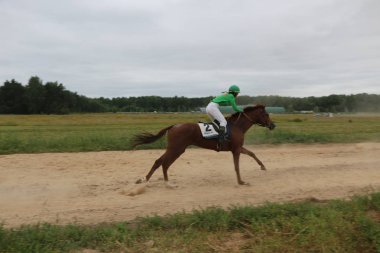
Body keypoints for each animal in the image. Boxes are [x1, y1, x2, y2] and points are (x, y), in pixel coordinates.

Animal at [132, 104, 274, 185]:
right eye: (266, 114)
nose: (273, 125)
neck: (237, 126)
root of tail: (173, 126)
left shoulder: (237, 147)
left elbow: (252, 153)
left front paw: (263, 166)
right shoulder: (236, 149)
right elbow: (237, 166)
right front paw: (241, 181)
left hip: (175, 148)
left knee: (159, 162)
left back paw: (146, 180)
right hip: (177, 148)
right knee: (164, 163)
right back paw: (164, 182)